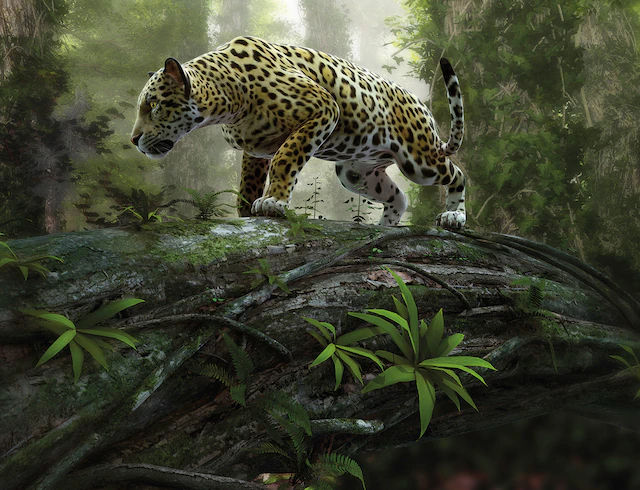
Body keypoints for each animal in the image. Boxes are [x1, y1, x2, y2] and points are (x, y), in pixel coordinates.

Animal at [131, 36, 466, 228]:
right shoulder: (256, 148)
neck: (228, 99)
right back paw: (382, 226)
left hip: (419, 161)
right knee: (399, 197)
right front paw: (247, 213)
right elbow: (248, 183)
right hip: (355, 173)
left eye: (153, 105)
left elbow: (286, 158)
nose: (133, 140)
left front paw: (273, 202)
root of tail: (420, 105)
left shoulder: (323, 108)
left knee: (458, 174)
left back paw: (454, 216)